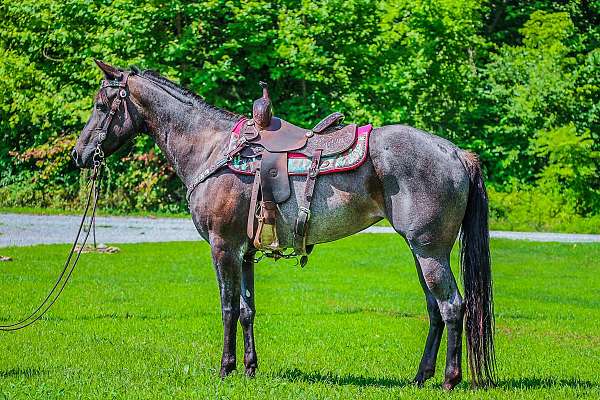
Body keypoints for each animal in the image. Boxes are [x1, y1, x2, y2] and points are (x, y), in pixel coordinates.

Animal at [71, 61, 496, 390]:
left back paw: (450, 379)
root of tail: (455, 152)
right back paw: (421, 377)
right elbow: (247, 309)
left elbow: (227, 307)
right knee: (435, 310)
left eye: (101, 105)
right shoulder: (244, 252)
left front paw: (224, 369)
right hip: (421, 252)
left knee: (452, 307)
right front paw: (249, 368)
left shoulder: (223, 247)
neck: (212, 148)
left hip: (430, 251)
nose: (79, 154)